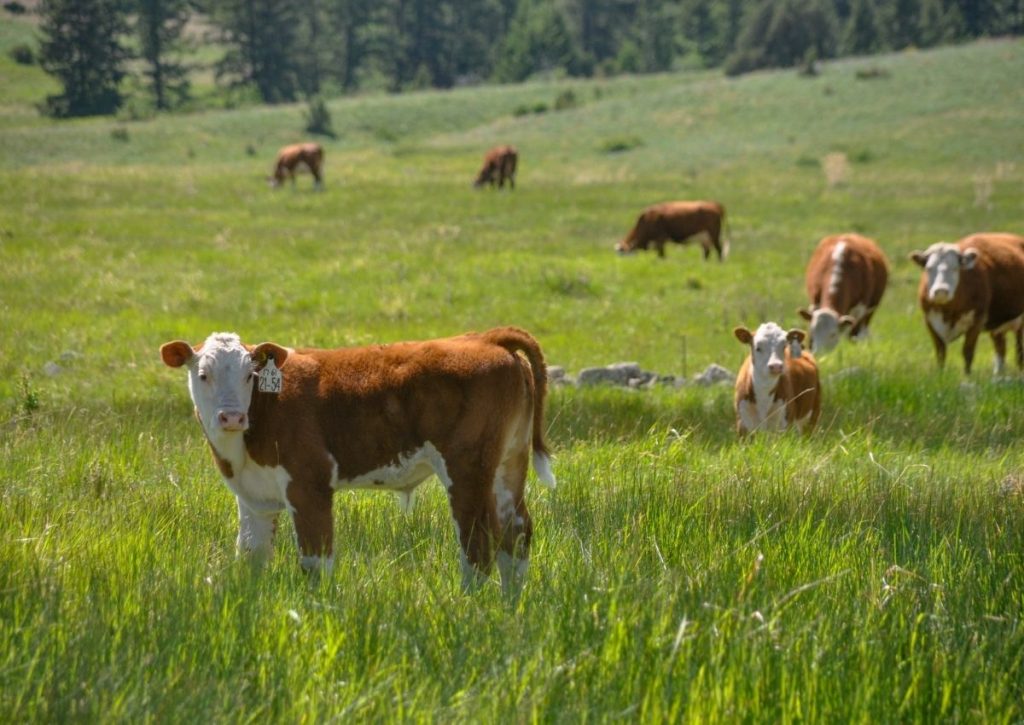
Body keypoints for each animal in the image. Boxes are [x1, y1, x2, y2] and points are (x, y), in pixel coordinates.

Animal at [159, 327, 557, 593]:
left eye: (249, 375)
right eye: (203, 374)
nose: (231, 417)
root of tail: (484, 338)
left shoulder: (309, 485)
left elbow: (315, 561)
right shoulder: (254, 497)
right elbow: (251, 557)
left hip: (468, 470)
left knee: (477, 544)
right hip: (509, 463)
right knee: (515, 534)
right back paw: (509, 607)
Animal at [913, 232, 1024, 376]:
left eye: (955, 268)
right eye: (929, 268)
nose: (941, 291)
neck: (948, 313)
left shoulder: (977, 321)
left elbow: (967, 352)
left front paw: (967, 376)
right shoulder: (930, 321)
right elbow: (940, 352)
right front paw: (940, 374)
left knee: (1019, 351)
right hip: (997, 326)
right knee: (1000, 348)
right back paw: (998, 375)